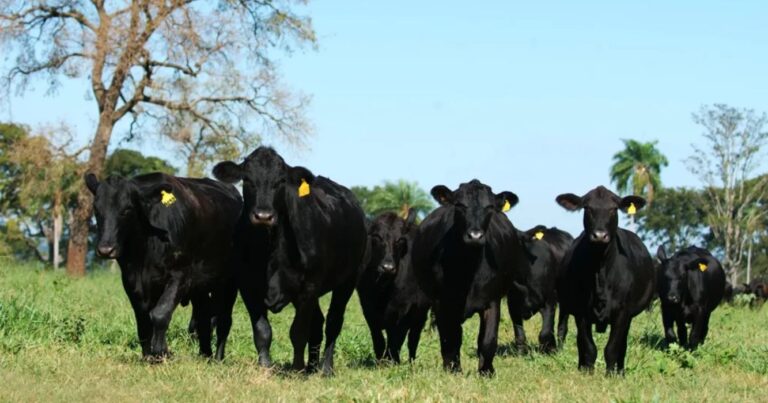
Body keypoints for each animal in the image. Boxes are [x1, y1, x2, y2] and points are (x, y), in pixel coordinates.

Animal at [84, 172, 240, 362]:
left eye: (127, 209)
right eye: (96, 209)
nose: (106, 250)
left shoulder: (180, 276)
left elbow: (160, 313)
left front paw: (160, 352)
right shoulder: (131, 281)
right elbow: (143, 321)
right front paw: (148, 356)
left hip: (229, 281)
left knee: (224, 320)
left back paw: (217, 358)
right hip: (201, 287)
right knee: (203, 319)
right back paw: (205, 354)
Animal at [210, 148, 366, 376]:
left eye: (281, 181)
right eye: (247, 179)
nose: (263, 216)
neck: (271, 248)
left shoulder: (309, 287)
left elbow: (298, 332)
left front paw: (296, 369)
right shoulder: (248, 285)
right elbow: (262, 331)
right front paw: (265, 366)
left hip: (348, 281)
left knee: (333, 323)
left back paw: (325, 368)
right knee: (318, 323)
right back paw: (312, 367)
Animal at [356, 210, 428, 364]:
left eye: (400, 240)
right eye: (377, 236)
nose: (388, 267)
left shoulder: (402, 308)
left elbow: (395, 337)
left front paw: (392, 360)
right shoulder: (367, 306)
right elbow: (378, 336)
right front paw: (379, 359)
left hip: (421, 311)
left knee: (413, 338)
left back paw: (411, 362)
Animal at [412, 180, 532, 376]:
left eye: (489, 207)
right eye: (460, 205)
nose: (475, 236)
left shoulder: (492, 300)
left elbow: (488, 339)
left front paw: (486, 371)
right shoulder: (442, 302)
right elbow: (450, 339)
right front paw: (452, 369)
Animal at [556, 186, 656, 376]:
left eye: (613, 209)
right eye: (587, 208)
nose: (600, 235)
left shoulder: (623, 313)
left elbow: (613, 348)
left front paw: (610, 374)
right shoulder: (581, 312)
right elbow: (588, 346)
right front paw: (587, 372)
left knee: (623, 345)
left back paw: (620, 372)